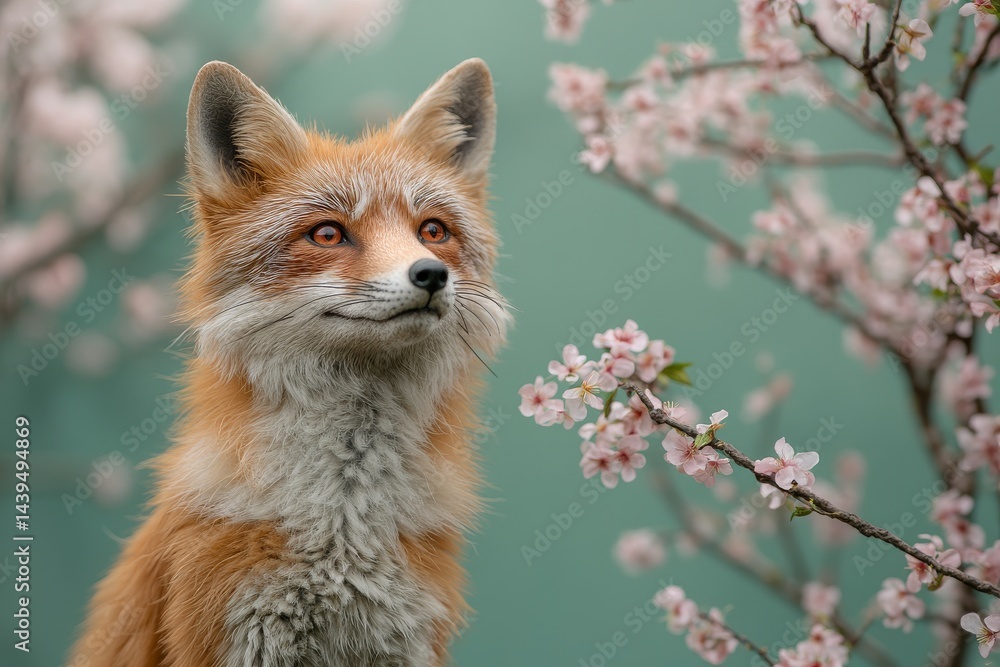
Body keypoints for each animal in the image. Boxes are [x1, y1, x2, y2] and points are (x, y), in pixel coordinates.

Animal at [69, 58, 508, 667]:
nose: (430, 275)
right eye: (327, 233)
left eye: (433, 231)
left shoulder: (405, 639)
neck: (344, 524)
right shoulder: (235, 634)